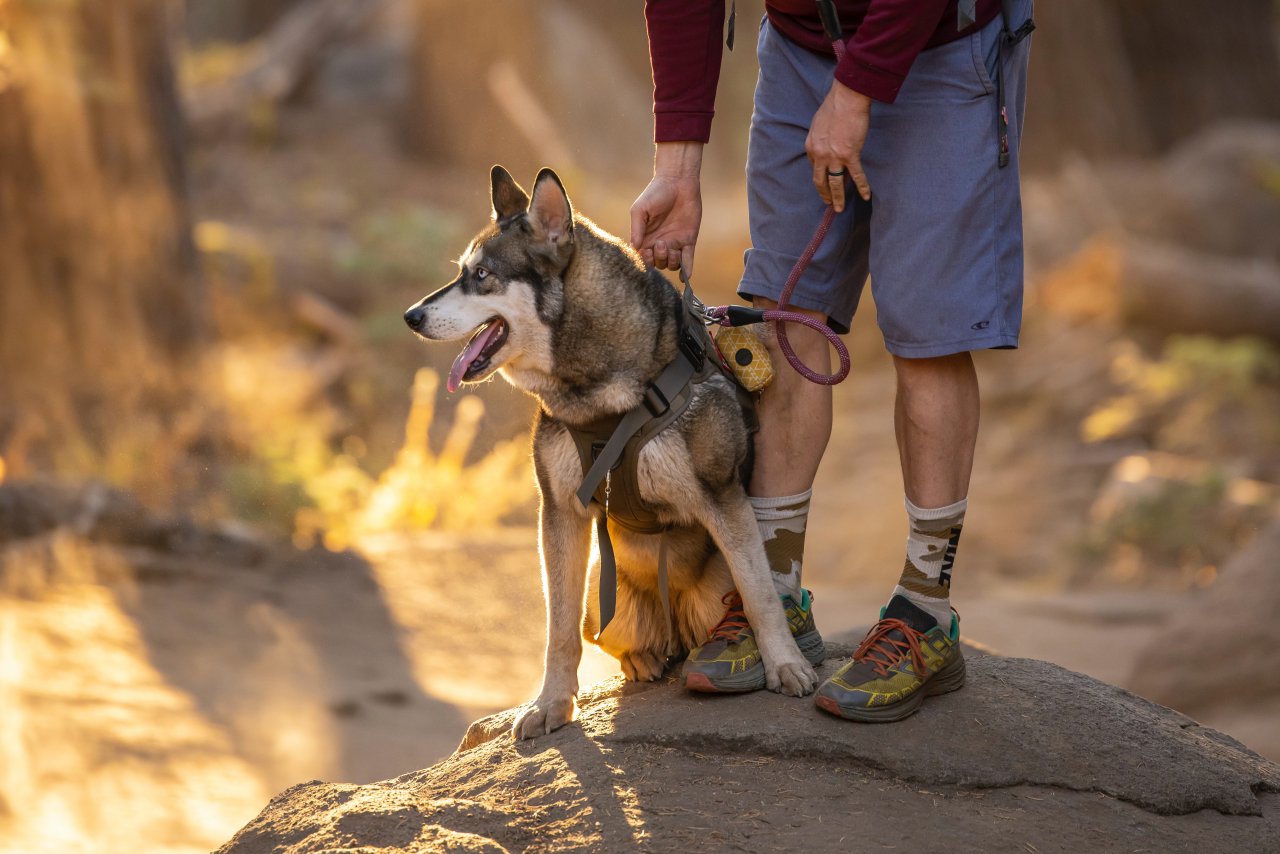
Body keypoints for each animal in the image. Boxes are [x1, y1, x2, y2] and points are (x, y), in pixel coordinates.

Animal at [404, 169, 814, 742]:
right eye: (463, 272)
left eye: (481, 275)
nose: (411, 316)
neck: (603, 398)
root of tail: (674, 632)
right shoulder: (560, 513)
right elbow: (557, 629)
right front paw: (551, 704)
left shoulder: (724, 498)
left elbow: (760, 597)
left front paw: (784, 665)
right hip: (603, 597)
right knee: (607, 637)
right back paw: (642, 660)